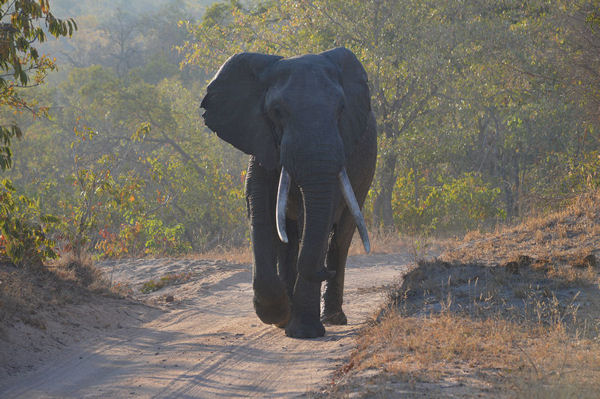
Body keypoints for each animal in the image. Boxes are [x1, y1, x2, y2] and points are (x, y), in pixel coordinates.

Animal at [204, 48, 378, 340]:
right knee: (290, 237)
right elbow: (260, 213)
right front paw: (280, 315)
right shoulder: (260, 144)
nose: (325, 271)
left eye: (341, 110)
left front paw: (303, 331)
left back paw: (333, 317)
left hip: (365, 175)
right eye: (276, 112)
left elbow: (315, 217)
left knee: (340, 236)